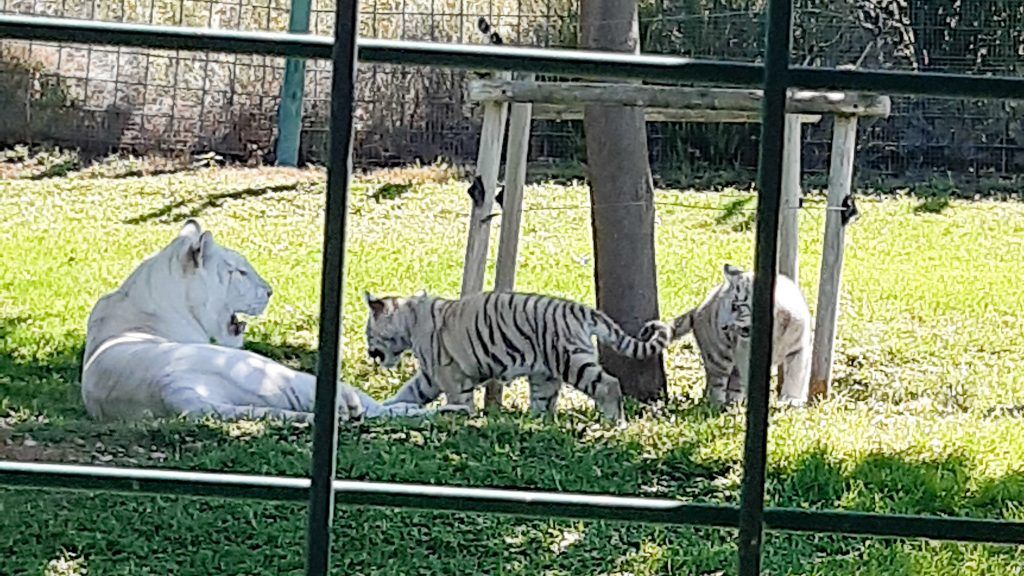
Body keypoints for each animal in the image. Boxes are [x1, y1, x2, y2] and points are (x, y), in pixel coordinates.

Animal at [364, 291, 673, 421]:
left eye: (368, 332)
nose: (369, 352)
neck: (409, 320)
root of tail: (581, 309)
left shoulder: (447, 373)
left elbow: (458, 400)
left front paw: (463, 417)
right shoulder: (429, 376)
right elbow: (408, 392)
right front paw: (386, 406)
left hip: (571, 360)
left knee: (609, 385)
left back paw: (614, 423)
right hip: (545, 373)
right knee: (544, 403)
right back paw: (533, 423)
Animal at [670, 264, 812, 407]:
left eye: (735, 306)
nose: (723, 326)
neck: (775, 330)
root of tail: (698, 308)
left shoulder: (799, 348)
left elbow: (796, 374)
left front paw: (791, 399)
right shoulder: (746, 353)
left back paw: (733, 402)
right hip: (717, 357)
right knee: (716, 383)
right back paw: (718, 405)